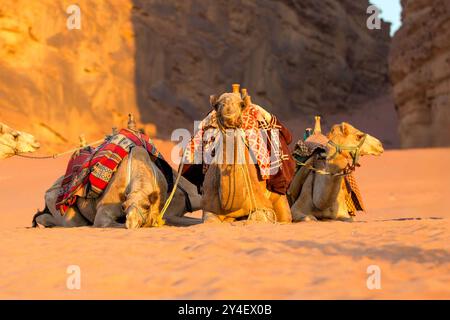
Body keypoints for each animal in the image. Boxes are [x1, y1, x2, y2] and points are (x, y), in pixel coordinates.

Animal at [34, 146, 203, 229]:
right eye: (123, 206)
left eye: (147, 206)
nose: (131, 222)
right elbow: (105, 222)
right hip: (60, 205)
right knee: (70, 222)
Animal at [202, 88, 294, 222]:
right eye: (218, 104)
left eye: (241, 105)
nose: (228, 110)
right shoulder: (209, 204)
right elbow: (210, 219)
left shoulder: (262, 203)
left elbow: (259, 216)